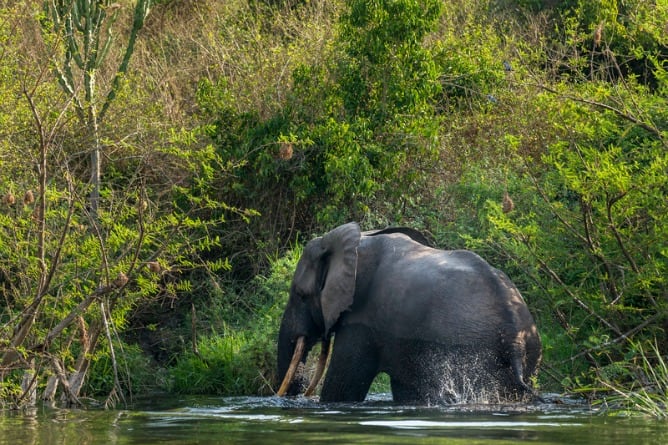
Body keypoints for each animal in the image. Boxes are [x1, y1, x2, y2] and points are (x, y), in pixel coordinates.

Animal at [276, 222, 544, 402]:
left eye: (300, 294)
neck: (359, 240)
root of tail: (514, 339)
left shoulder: (361, 321)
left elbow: (342, 389)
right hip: (530, 353)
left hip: (467, 349)